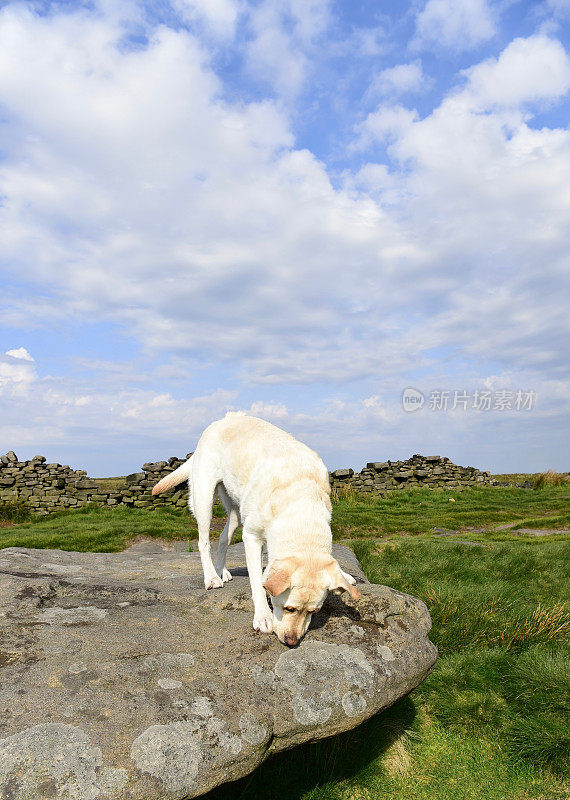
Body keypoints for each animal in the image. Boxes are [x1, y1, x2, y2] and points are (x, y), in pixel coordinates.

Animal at [151, 412, 356, 644]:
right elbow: (258, 581)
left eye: (314, 611)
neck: (300, 501)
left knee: (223, 538)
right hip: (204, 499)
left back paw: (221, 571)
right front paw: (263, 616)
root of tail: (222, 420)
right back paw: (211, 577)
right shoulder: (251, 537)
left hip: (235, 512)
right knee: (203, 541)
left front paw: (344, 576)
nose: (292, 642)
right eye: (289, 608)